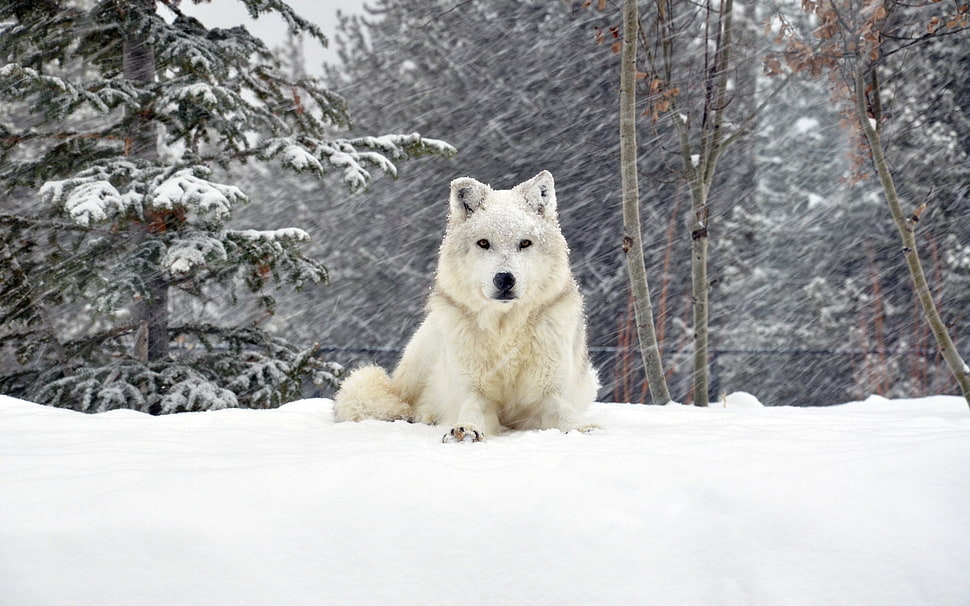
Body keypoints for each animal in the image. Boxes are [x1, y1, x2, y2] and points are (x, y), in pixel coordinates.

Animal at [333, 170, 599, 442]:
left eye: (525, 243)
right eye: (483, 243)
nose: (504, 279)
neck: (505, 332)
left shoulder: (547, 393)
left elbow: (565, 411)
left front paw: (582, 428)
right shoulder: (475, 392)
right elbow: (472, 410)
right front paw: (466, 429)